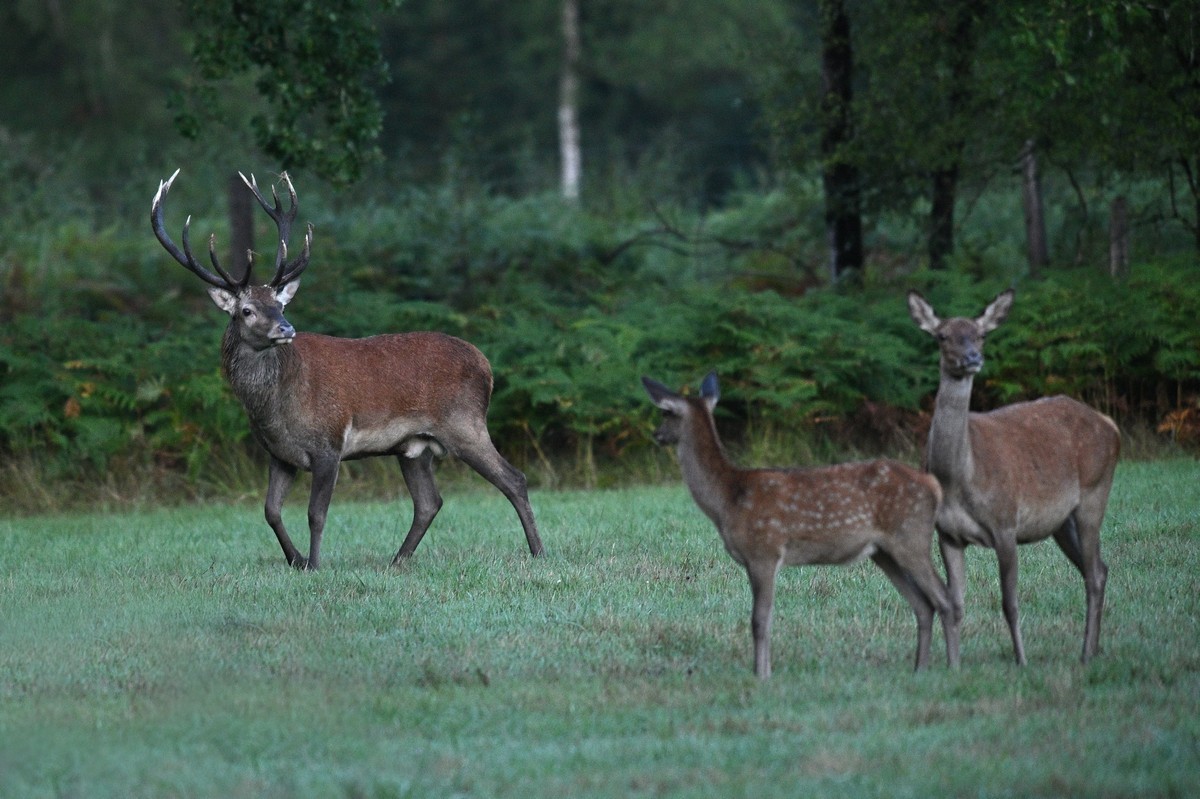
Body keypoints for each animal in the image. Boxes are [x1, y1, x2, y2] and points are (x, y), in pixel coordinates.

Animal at [150, 169, 544, 569]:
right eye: (246, 310)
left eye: (279, 304)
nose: (286, 328)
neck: (274, 409)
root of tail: (486, 365)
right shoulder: (279, 454)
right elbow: (270, 511)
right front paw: (296, 559)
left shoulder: (329, 443)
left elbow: (316, 513)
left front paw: (314, 564)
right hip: (413, 446)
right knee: (429, 502)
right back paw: (396, 561)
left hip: (464, 422)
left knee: (514, 479)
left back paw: (538, 551)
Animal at [643, 372, 957, 679]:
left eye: (666, 412)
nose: (656, 435)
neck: (727, 499)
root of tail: (933, 486)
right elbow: (764, 617)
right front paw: (764, 671)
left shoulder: (764, 551)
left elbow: (759, 619)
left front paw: (761, 676)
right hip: (884, 552)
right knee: (923, 605)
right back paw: (919, 670)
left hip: (910, 537)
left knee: (945, 600)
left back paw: (952, 667)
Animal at [907, 289, 1120, 664]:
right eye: (943, 335)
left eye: (981, 334)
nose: (973, 357)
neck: (959, 477)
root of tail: (1111, 425)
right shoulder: (947, 534)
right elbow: (955, 604)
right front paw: (953, 665)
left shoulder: (1005, 524)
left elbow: (1009, 603)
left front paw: (1021, 662)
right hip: (1061, 520)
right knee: (1098, 568)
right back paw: (1091, 650)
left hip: (1096, 491)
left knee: (1094, 573)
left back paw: (1085, 655)